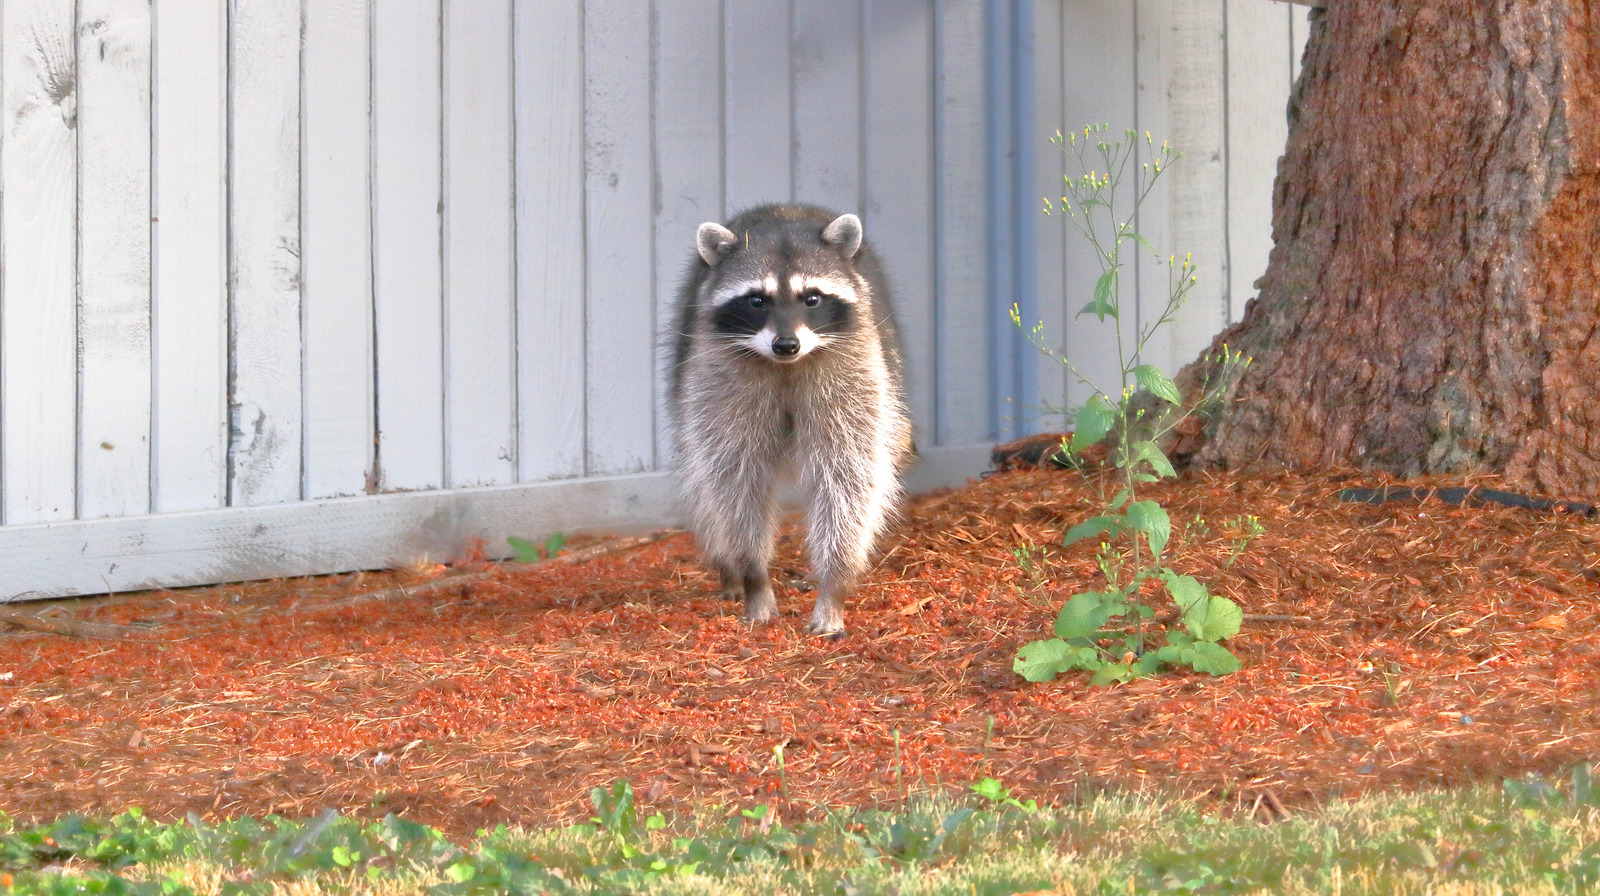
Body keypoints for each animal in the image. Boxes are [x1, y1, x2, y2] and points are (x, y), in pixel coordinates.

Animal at [665, 203, 915, 636]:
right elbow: (734, 478)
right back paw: (729, 569)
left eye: (811, 298)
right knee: (701, 482)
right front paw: (753, 573)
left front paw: (834, 584)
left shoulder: (854, 370)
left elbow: (848, 475)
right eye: (756, 300)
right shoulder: (718, 376)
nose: (786, 344)